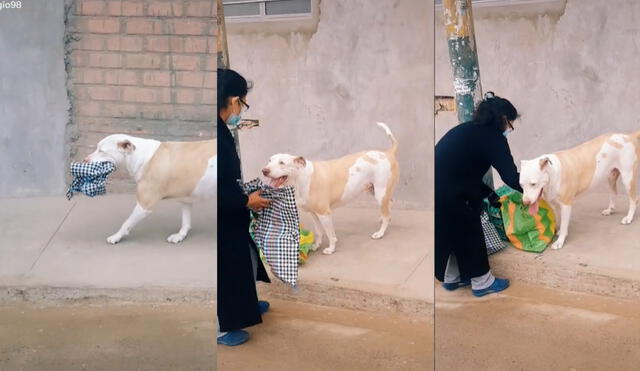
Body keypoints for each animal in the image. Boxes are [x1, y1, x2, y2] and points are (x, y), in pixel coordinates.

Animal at [84, 135, 215, 246]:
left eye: (102, 151)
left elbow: (126, 223)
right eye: (97, 148)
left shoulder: (143, 206)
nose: (85, 160)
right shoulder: (186, 198)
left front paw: (116, 236)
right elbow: (186, 222)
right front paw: (180, 235)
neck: (141, 157)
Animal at [258, 122, 398, 256]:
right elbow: (318, 231)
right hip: (375, 190)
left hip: (380, 192)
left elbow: (330, 234)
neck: (300, 178)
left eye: (282, 163)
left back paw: (380, 232)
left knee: (387, 214)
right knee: (389, 205)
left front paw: (331, 249)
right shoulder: (313, 213)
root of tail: (388, 152)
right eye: (269, 160)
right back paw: (382, 218)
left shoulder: (324, 213)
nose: (264, 170)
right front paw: (316, 245)